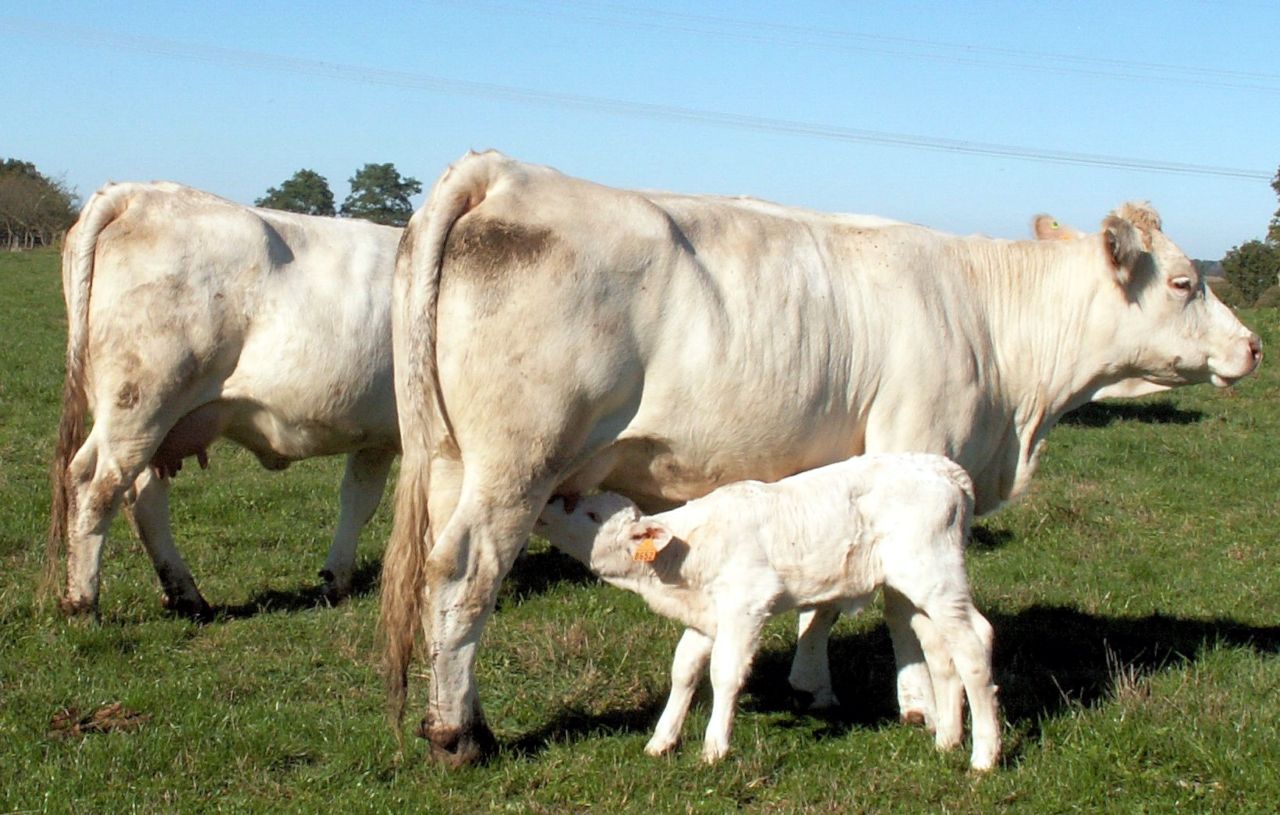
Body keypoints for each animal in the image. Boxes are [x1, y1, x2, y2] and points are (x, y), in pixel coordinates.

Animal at [46, 182, 402, 619]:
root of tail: (135, 192)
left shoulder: (377, 436)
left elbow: (357, 500)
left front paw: (336, 579)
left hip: (136, 419)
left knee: (143, 497)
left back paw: (187, 596)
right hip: (141, 403)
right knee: (96, 485)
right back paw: (83, 601)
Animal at [536, 454, 999, 769]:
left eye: (590, 513)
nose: (548, 503)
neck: (684, 554)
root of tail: (945, 469)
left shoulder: (746, 603)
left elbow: (724, 673)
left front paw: (714, 748)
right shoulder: (708, 615)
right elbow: (683, 670)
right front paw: (661, 741)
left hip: (935, 574)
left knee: (975, 642)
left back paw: (984, 756)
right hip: (918, 589)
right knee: (942, 652)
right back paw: (948, 741)